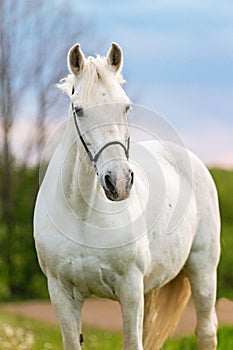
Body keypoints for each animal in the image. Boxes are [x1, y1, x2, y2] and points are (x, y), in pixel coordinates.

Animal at [33, 42, 221, 348]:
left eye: (126, 107)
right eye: (78, 110)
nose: (118, 182)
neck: (83, 215)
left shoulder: (130, 289)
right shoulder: (60, 293)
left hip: (203, 269)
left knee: (206, 331)